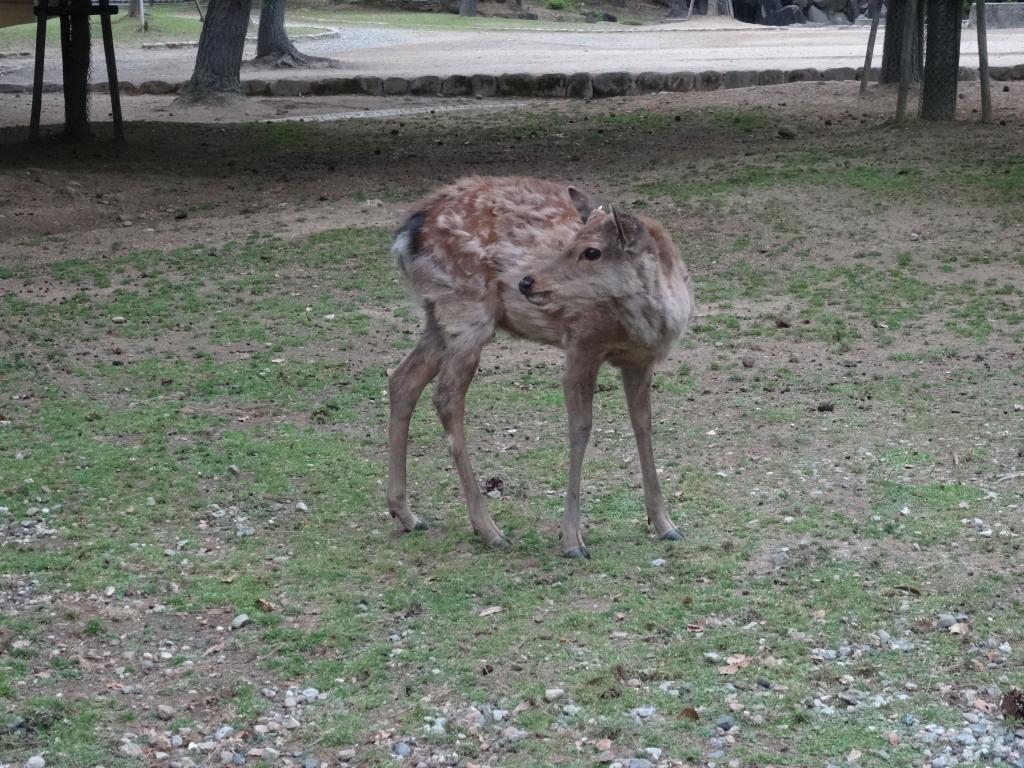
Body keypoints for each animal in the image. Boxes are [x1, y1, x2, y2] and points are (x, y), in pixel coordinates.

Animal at [385, 177, 696, 557]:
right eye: (573, 242)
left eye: (591, 251)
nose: (526, 281)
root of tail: (408, 233)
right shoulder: (581, 342)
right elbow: (580, 429)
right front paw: (572, 539)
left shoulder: (640, 360)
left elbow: (644, 426)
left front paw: (666, 524)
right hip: (467, 309)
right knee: (446, 397)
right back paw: (489, 530)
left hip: (438, 314)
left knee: (403, 379)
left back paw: (407, 514)